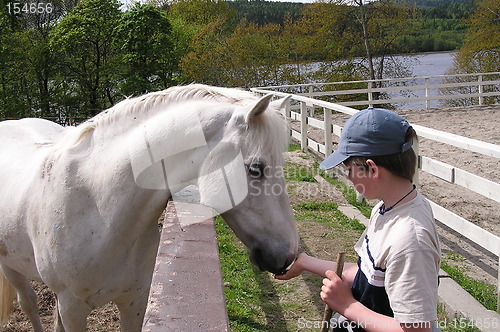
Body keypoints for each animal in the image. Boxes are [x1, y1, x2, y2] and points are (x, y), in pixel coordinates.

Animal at [0, 85, 298, 330]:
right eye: (256, 168)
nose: (289, 255)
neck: (99, 208)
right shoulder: (73, 308)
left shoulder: (135, 299)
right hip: (11, 267)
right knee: (28, 303)